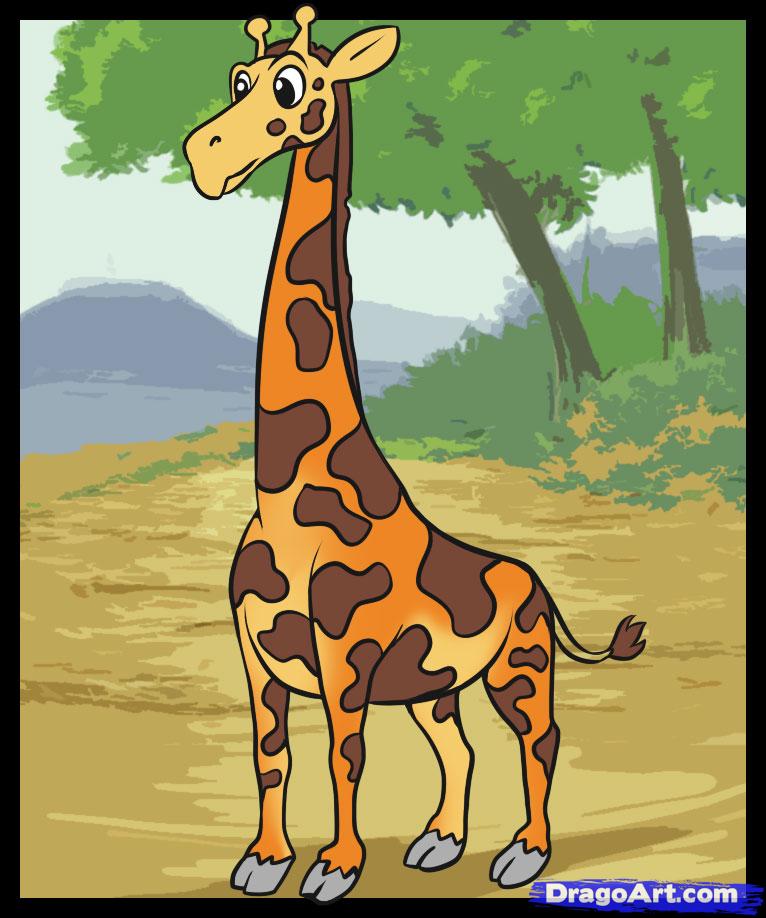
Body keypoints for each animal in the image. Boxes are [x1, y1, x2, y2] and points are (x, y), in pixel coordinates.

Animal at [183, 9, 647, 903]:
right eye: (237, 80)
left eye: (291, 86)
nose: (204, 156)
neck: (283, 501)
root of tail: (540, 586)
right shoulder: (257, 656)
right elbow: (270, 757)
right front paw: (263, 860)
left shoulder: (345, 663)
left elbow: (344, 759)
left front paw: (334, 869)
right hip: (433, 685)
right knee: (458, 746)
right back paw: (438, 842)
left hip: (518, 665)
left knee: (540, 738)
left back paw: (523, 854)